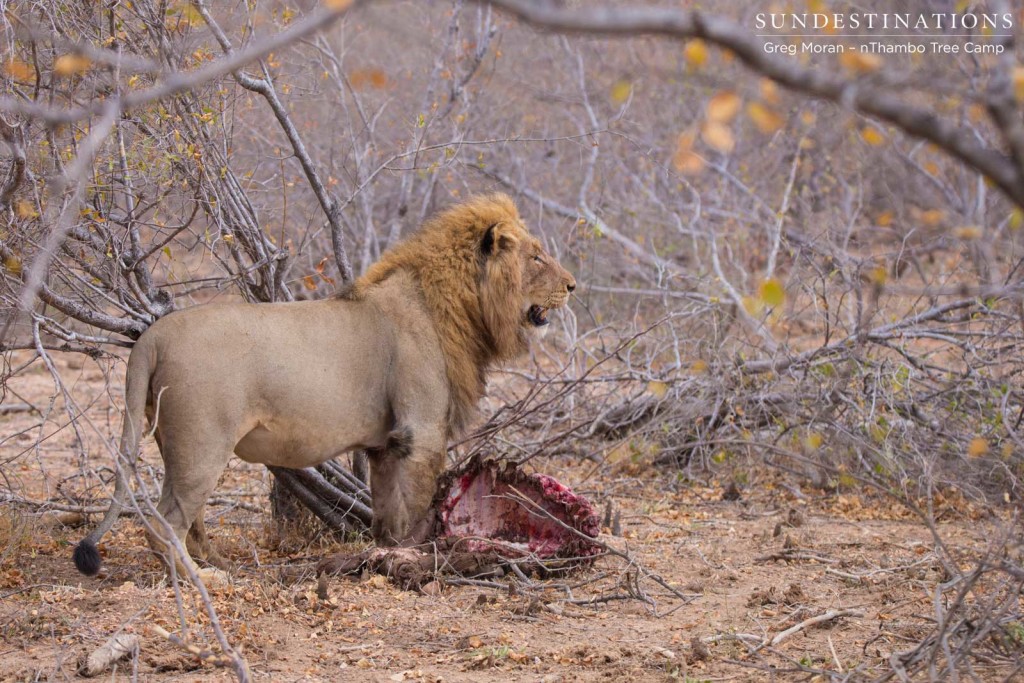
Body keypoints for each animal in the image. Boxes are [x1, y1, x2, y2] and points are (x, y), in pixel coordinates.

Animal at [74, 193, 577, 581]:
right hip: (202, 445)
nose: (573, 285)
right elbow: (418, 508)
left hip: (176, 444)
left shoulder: (385, 444)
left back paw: (217, 564)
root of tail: (152, 336)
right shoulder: (422, 432)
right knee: (163, 523)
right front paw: (418, 555)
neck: (459, 306)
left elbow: (387, 511)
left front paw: (385, 552)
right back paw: (202, 580)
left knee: (186, 521)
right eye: (536, 257)